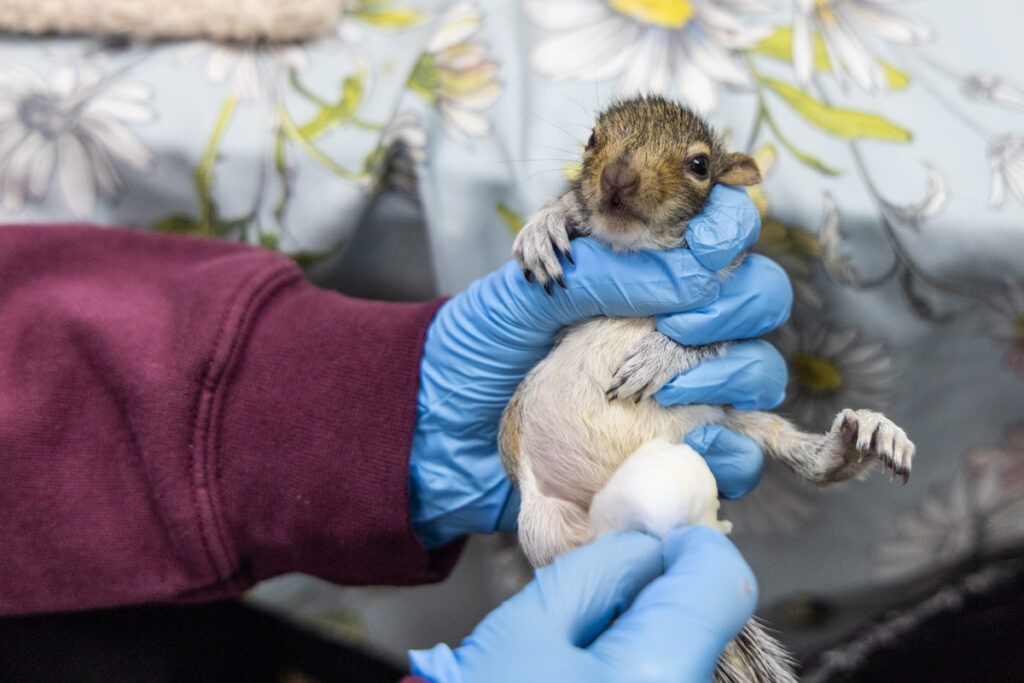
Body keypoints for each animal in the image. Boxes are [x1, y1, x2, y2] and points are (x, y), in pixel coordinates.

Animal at [497, 96, 916, 683]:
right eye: (592, 140)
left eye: (698, 165)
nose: (617, 177)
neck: (636, 252)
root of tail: (658, 524)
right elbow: (561, 220)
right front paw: (547, 223)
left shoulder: (740, 308)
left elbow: (713, 338)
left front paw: (663, 352)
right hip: (543, 526)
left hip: (733, 423)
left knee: (814, 464)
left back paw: (863, 439)